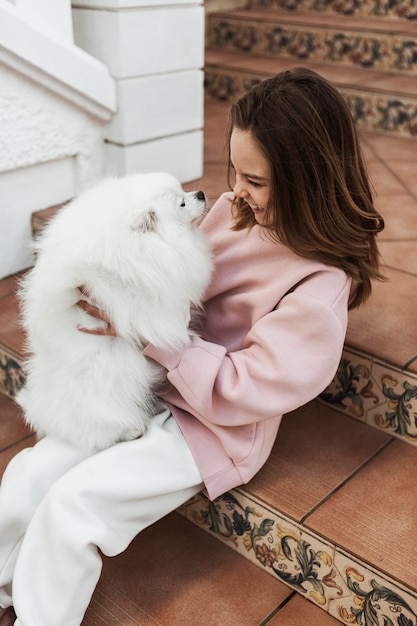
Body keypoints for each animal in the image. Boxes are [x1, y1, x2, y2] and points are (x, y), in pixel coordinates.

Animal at [17, 173, 211, 450]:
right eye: (181, 203)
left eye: (184, 191)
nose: (201, 194)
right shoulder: (124, 291)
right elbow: (154, 309)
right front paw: (182, 319)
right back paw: (130, 431)